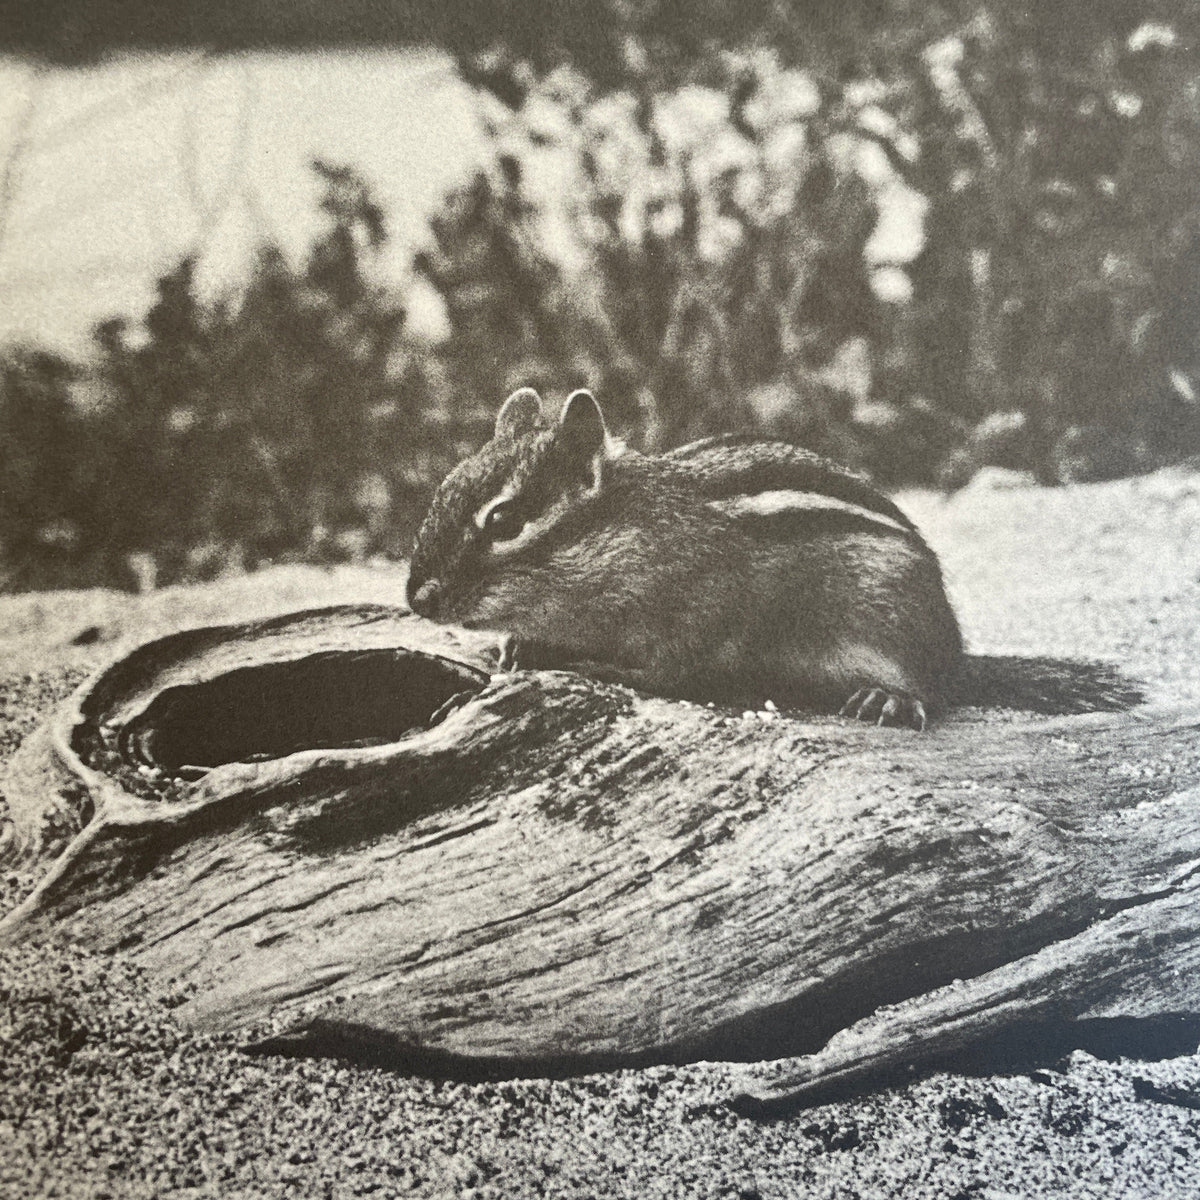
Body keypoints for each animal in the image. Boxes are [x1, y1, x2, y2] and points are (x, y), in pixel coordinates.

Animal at [407, 388, 963, 730]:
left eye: (503, 522)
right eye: (442, 491)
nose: (417, 599)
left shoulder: (701, 617)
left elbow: (670, 674)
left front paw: (592, 666)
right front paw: (520, 647)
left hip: (894, 627)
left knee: (931, 685)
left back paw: (889, 696)